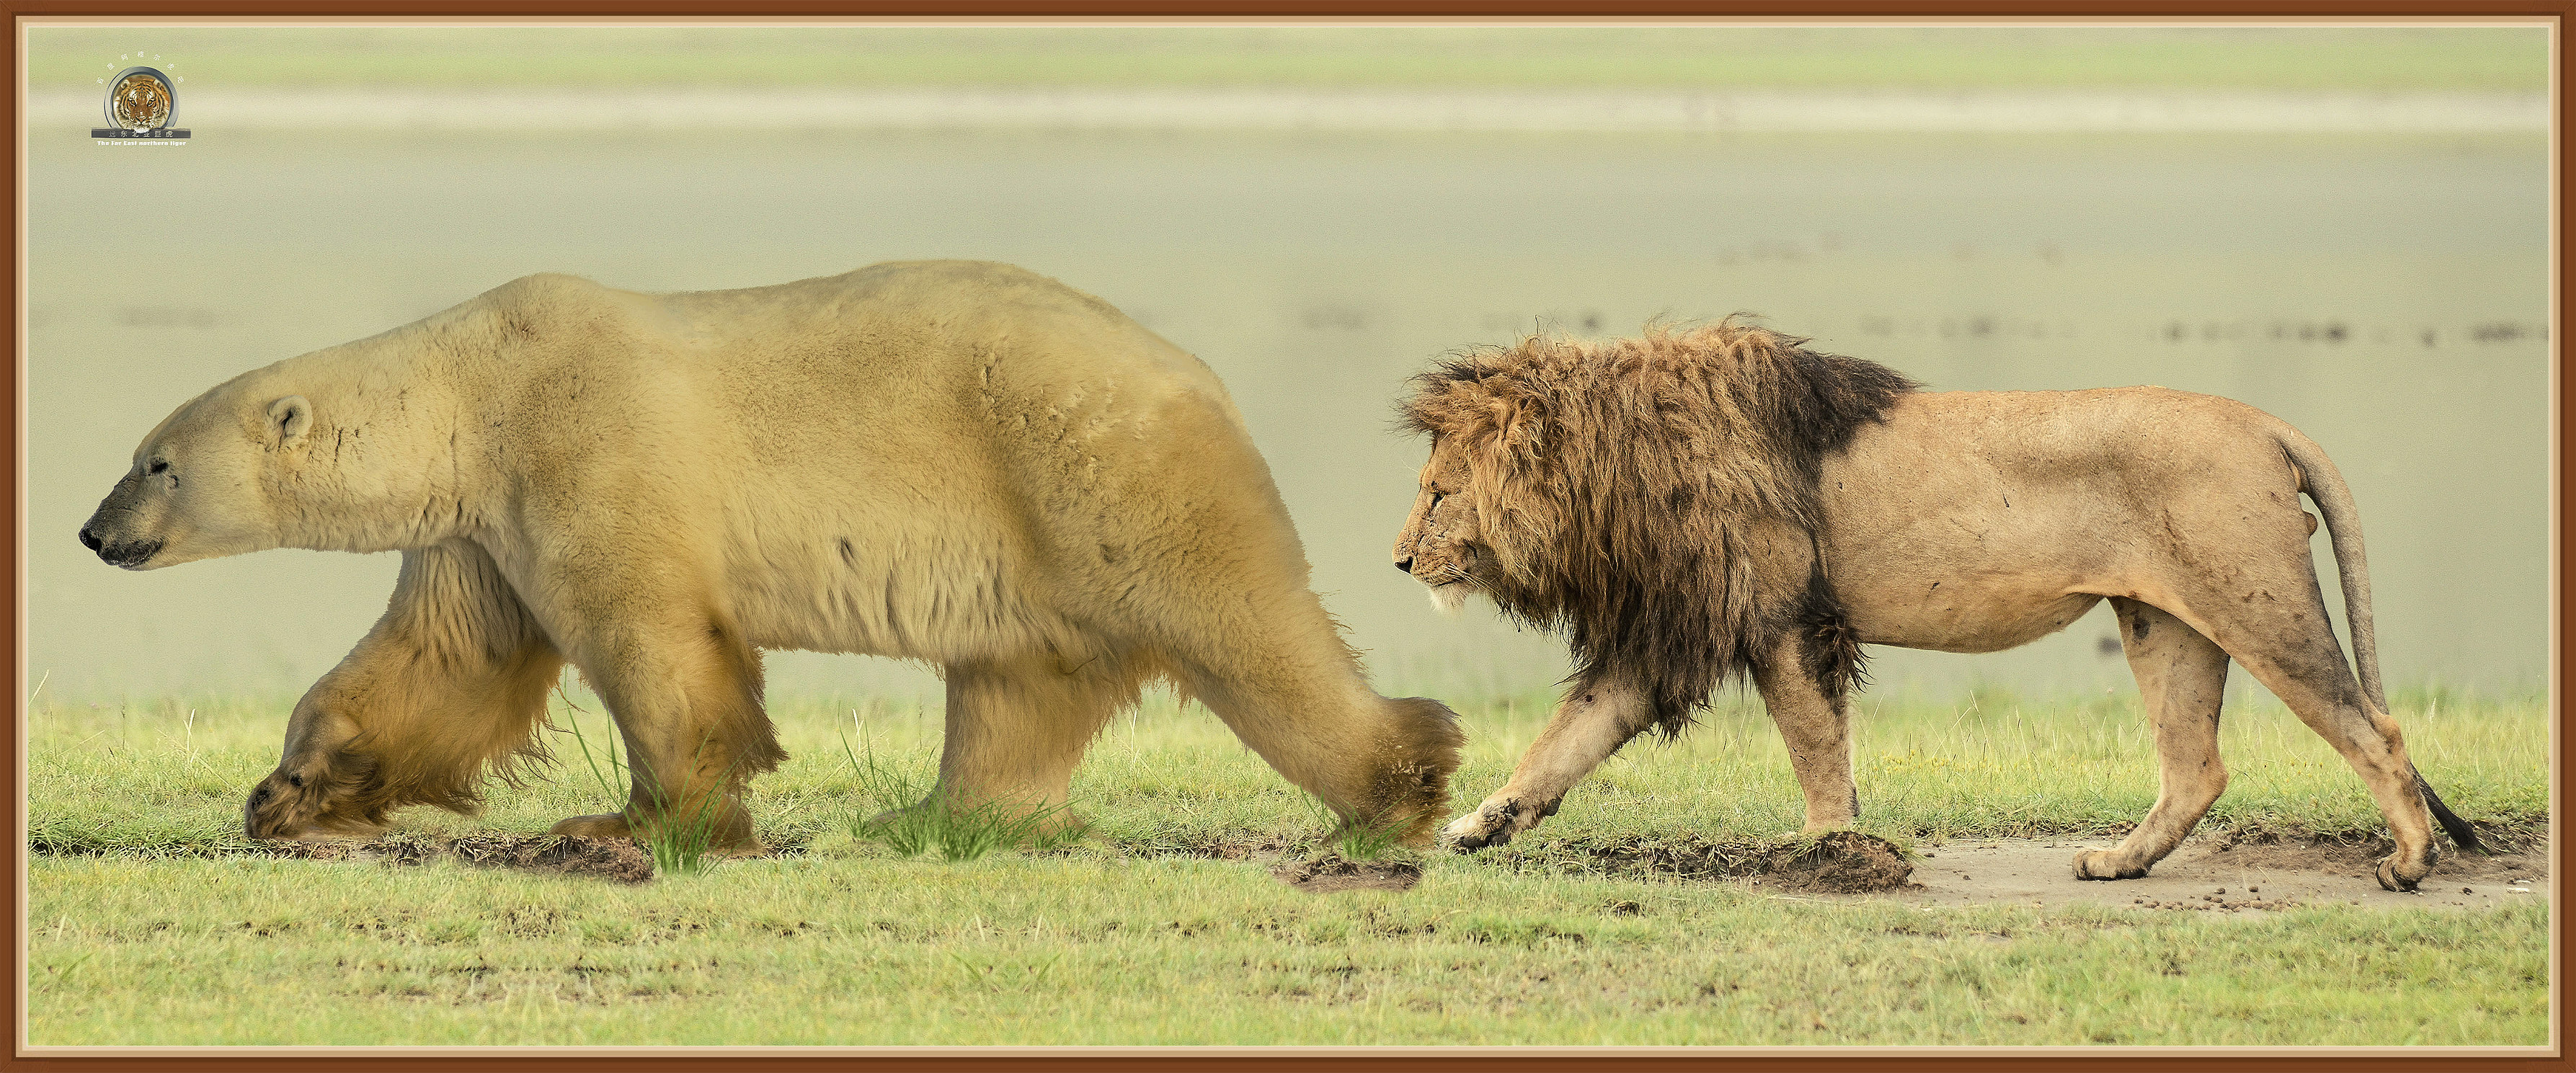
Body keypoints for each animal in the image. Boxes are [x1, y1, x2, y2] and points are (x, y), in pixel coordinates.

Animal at [80, 261, 1463, 854]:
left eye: (155, 462)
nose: (93, 531)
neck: (473, 390)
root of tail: (1202, 378)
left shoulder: (585, 446)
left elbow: (647, 640)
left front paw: (638, 821)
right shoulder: (481, 527)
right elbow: (434, 665)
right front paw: (289, 792)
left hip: (1097, 475)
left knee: (1246, 629)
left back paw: (1401, 781)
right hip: (1038, 553)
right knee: (1015, 689)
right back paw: (935, 815)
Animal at [1401, 321, 2483, 890]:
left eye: (1439, 493)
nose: (1401, 559)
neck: (1612, 469)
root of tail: (2263, 423)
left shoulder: (1784, 617)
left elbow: (1816, 748)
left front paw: (1834, 853)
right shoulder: (1666, 636)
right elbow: (1559, 747)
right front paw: (1476, 829)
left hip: (2255, 603)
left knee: (2371, 726)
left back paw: (2409, 859)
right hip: (2164, 623)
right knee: (2197, 768)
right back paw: (2118, 863)